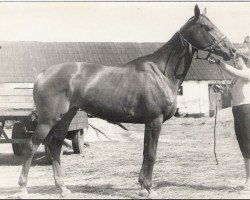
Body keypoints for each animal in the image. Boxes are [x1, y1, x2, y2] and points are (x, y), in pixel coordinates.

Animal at [18, 5, 235, 198]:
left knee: (55, 148)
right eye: (207, 27)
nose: (232, 51)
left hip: (65, 118)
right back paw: (23, 189)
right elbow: (151, 154)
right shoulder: (155, 121)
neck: (161, 72)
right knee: (31, 147)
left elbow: (146, 152)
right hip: (48, 120)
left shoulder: (149, 122)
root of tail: (43, 73)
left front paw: (142, 187)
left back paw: (62, 188)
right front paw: (148, 189)